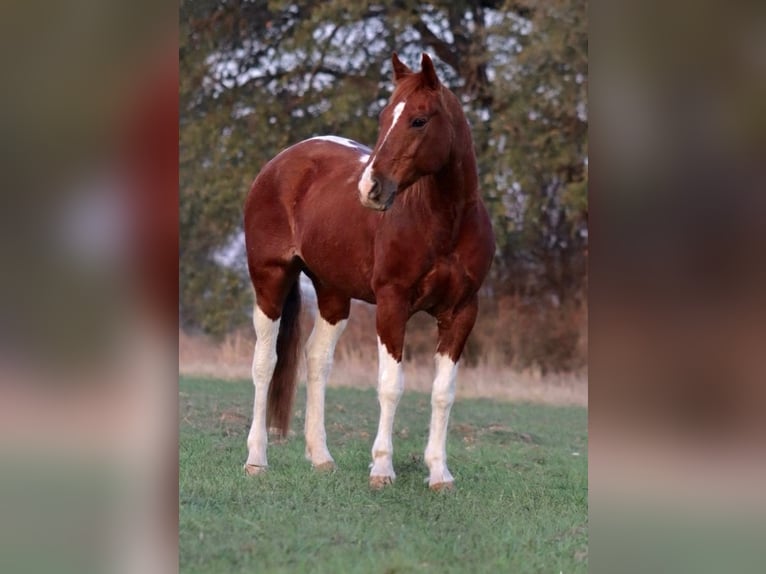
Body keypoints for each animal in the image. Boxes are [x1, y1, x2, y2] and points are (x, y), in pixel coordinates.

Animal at [242, 52, 495, 490]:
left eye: (419, 120)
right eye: (383, 117)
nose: (370, 188)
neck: (444, 222)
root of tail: (279, 164)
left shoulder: (463, 311)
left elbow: (443, 391)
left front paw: (439, 473)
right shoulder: (392, 304)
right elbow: (391, 385)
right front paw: (381, 468)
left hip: (332, 293)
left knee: (316, 359)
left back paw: (321, 457)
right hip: (269, 280)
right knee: (265, 363)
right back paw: (256, 459)